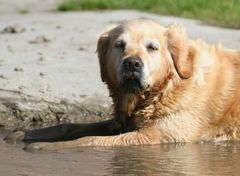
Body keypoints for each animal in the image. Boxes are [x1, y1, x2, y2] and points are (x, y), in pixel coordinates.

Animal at [8, 18, 239, 151]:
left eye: (152, 47)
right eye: (120, 45)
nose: (132, 63)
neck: (164, 89)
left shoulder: (158, 135)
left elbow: (90, 139)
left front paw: (44, 146)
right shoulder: (119, 123)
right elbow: (70, 126)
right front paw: (24, 134)